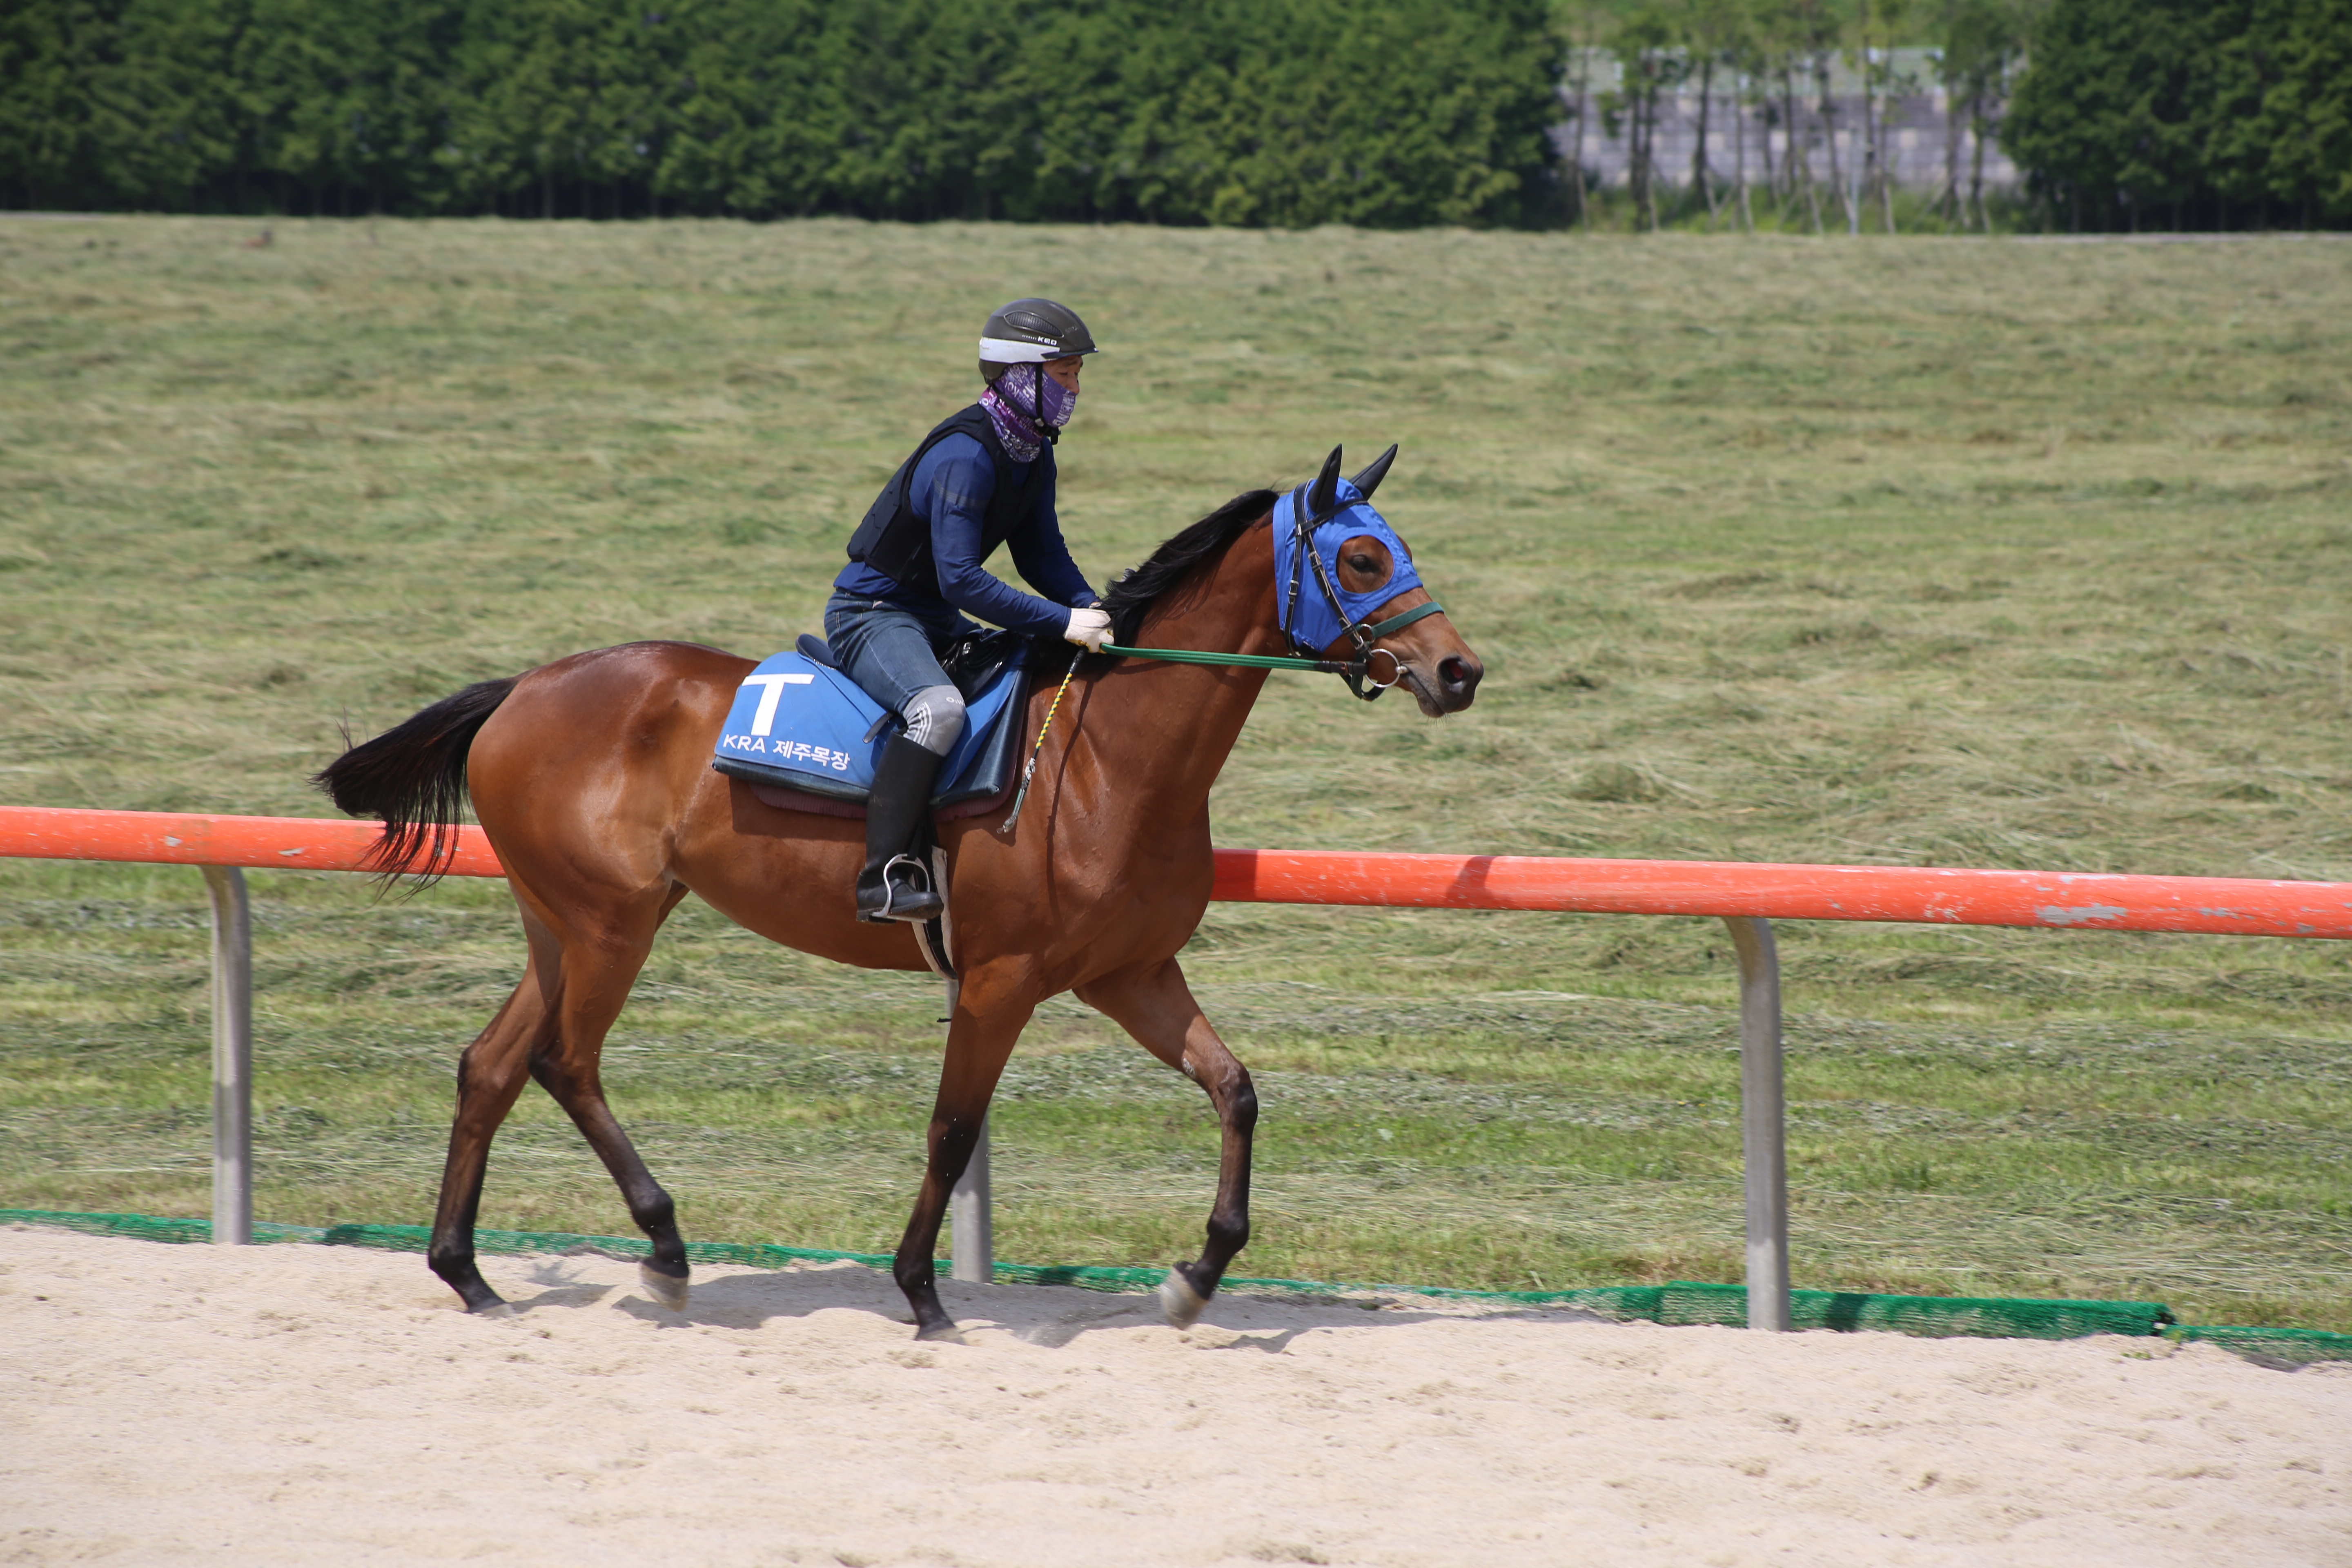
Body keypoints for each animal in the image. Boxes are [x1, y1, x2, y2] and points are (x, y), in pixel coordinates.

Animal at [320, 446, 1477, 1345]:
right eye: (1362, 556)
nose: (1458, 669)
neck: (1111, 757)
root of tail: (521, 688)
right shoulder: (1002, 979)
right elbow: (952, 1130)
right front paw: (922, 1292)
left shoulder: (1130, 973)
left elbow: (1234, 1089)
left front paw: (1194, 1278)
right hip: (612, 923)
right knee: (565, 1062)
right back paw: (665, 1246)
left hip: (565, 922)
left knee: (492, 1065)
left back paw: (467, 1271)